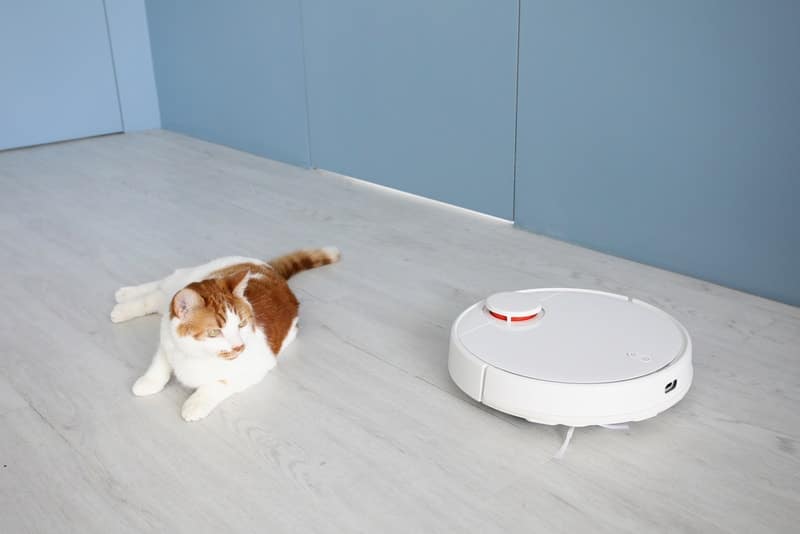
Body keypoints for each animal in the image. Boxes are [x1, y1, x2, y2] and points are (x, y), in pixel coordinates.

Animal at [110, 248, 340, 422]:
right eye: (215, 332)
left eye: (242, 324)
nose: (239, 347)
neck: (196, 355)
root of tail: (270, 270)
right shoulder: (167, 338)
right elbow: (160, 363)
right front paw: (149, 381)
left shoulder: (256, 368)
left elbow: (217, 384)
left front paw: (195, 404)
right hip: (187, 280)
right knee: (159, 289)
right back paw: (125, 299)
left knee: (159, 295)